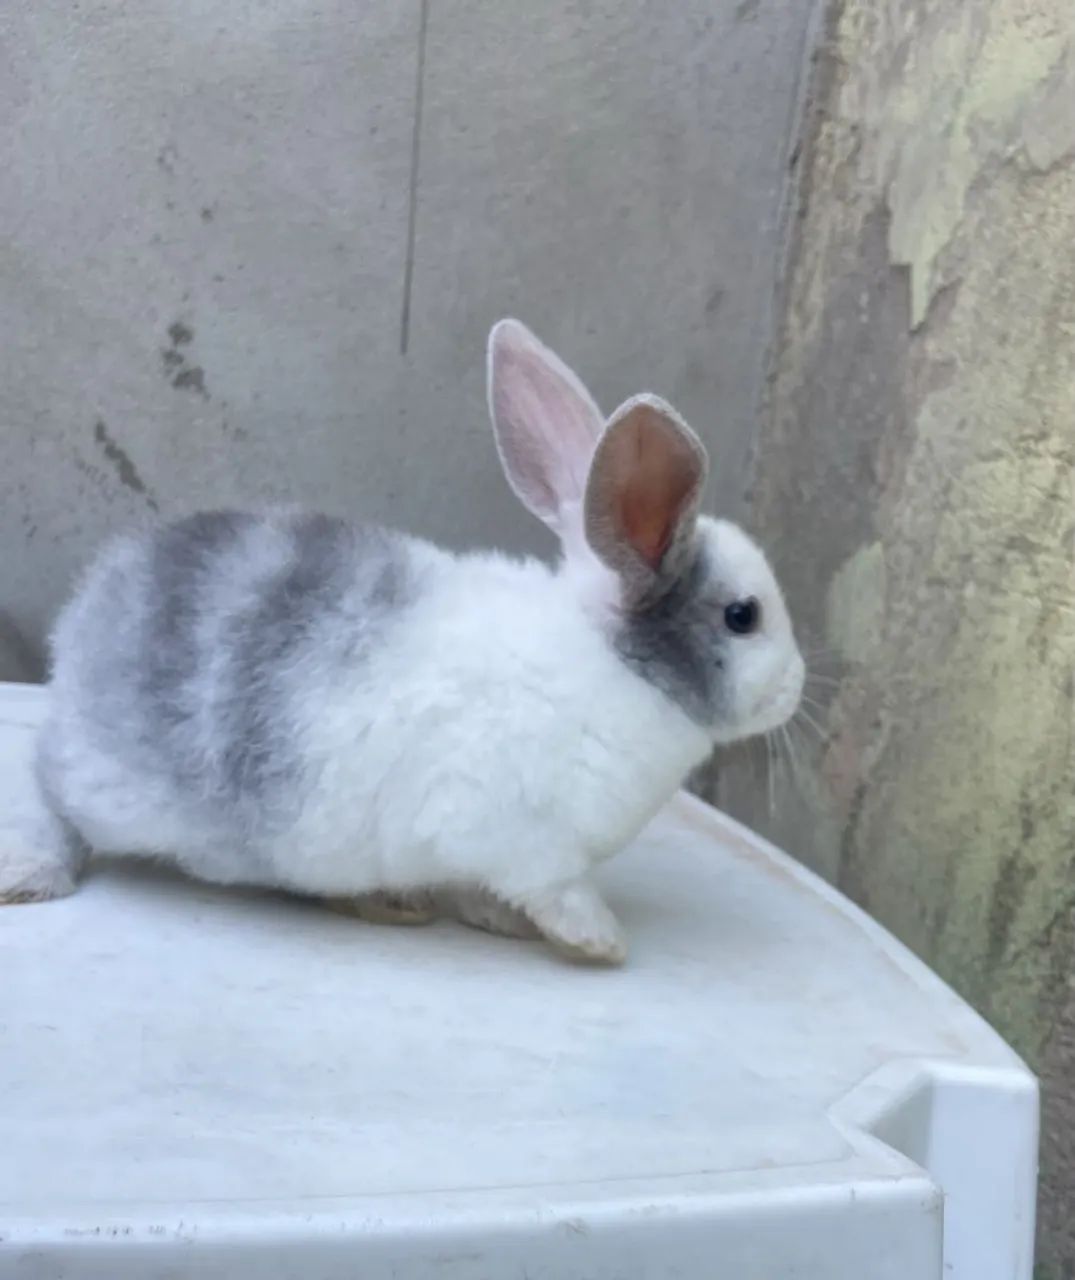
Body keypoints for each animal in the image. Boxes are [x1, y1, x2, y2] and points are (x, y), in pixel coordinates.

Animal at [0, 320, 804, 964]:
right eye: (743, 615)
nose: (797, 686)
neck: (614, 665)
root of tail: (85, 620)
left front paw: (493, 920)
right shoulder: (526, 843)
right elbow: (556, 890)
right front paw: (598, 942)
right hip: (108, 784)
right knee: (49, 790)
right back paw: (33, 873)